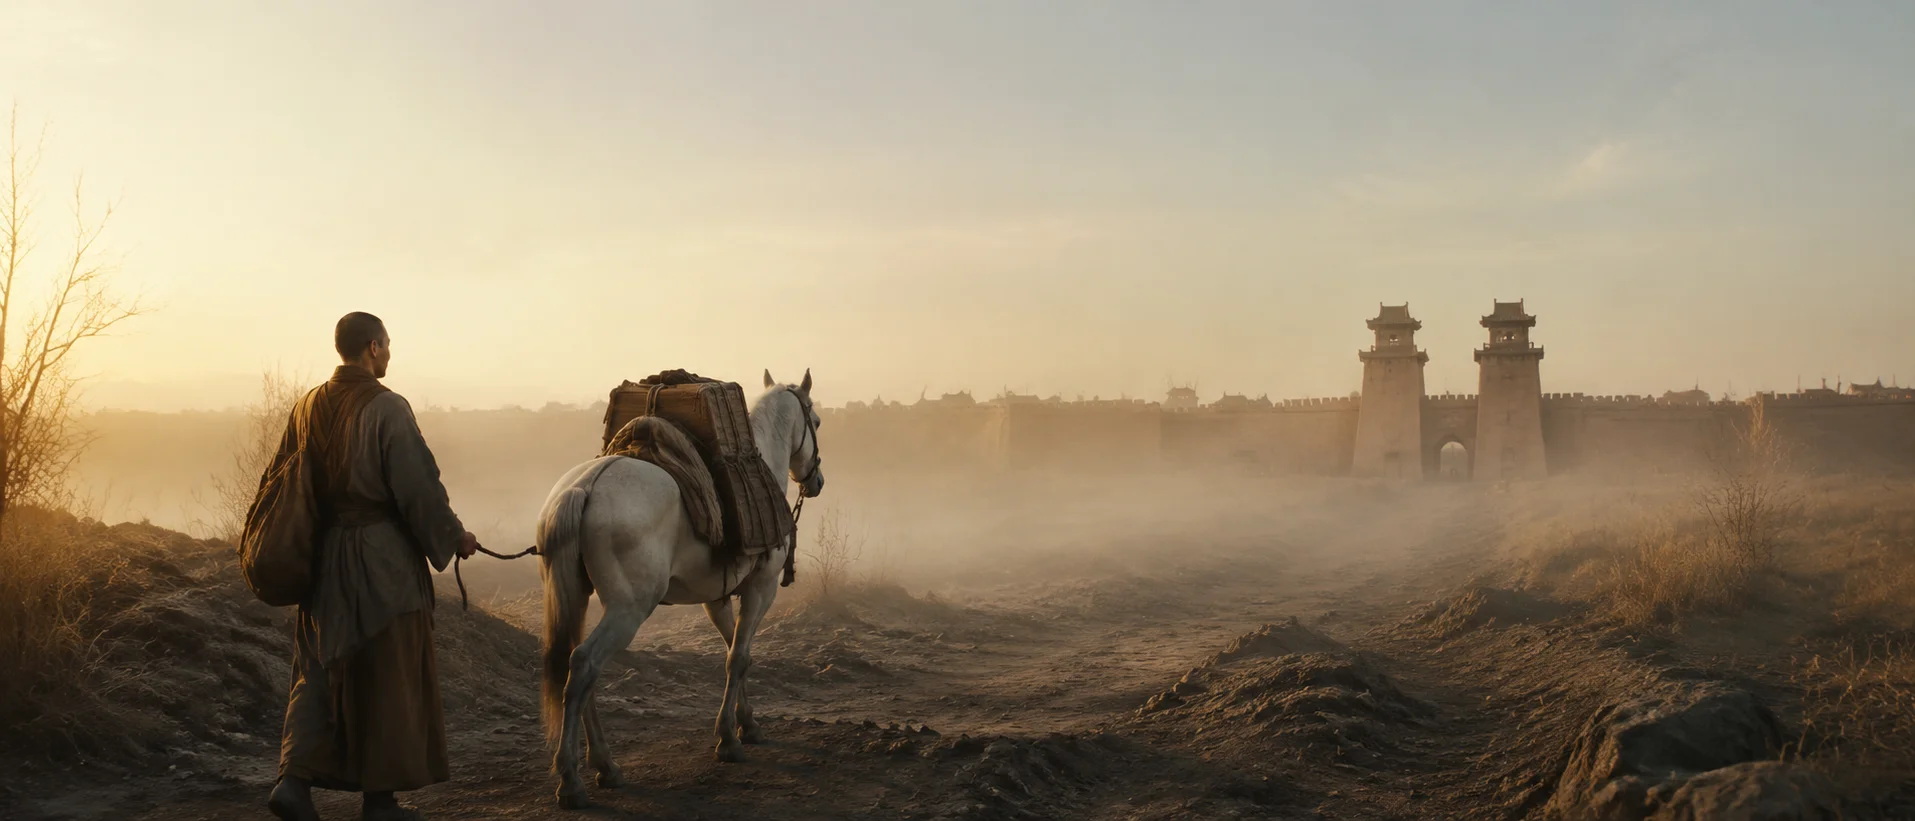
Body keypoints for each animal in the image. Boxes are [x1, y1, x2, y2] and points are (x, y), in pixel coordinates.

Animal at [535, 369, 824, 809]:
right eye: (817, 422)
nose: (817, 480)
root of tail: (583, 488)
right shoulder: (761, 587)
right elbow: (739, 657)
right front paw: (729, 740)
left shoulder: (717, 597)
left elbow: (734, 652)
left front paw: (747, 725)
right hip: (629, 610)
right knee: (584, 664)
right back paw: (571, 780)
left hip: (577, 596)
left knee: (579, 669)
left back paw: (605, 766)